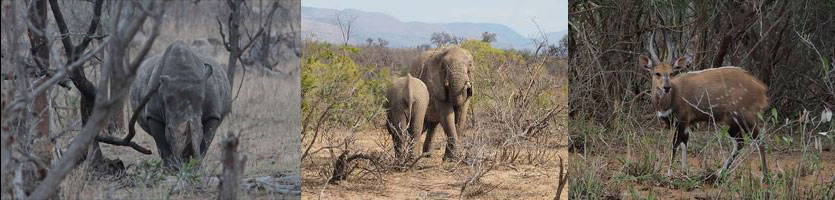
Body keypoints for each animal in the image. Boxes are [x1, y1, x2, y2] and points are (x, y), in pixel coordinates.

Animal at [133, 40, 232, 169]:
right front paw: (171, 169)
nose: (187, 158)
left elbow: (205, 142)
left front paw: (196, 166)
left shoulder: (213, 113)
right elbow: (162, 144)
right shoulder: (153, 115)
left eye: (201, 128)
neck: (182, 74)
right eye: (169, 129)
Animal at [640, 30, 772, 177]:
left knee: (759, 140)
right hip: (731, 122)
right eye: (657, 73)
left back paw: (764, 176)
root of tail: (761, 89)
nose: (666, 87)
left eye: (671, 73)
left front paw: (670, 173)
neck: (671, 99)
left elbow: (675, 144)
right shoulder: (684, 124)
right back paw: (719, 173)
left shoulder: (683, 120)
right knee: (740, 143)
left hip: (746, 116)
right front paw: (684, 171)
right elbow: (684, 143)